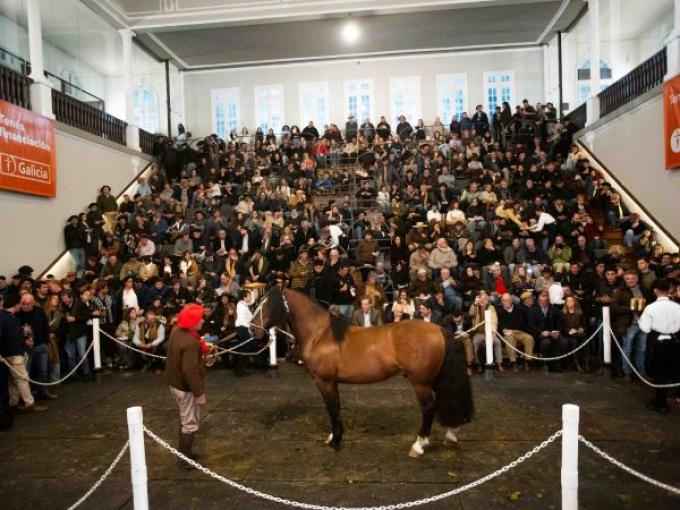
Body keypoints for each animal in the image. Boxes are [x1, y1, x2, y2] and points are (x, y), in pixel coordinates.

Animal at [251, 287, 473, 458]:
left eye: (268, 304)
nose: (252, 329)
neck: (320, 334)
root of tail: (439, 330)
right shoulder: (333, 382)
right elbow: (337, 407)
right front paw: (334, 436)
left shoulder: (324, 382)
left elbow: (331, 408)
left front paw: (336, 441)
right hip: (435, 380)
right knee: (447, 401)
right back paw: (450, 435)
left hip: (421, 383)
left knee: (429, 408)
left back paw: (418, 446)